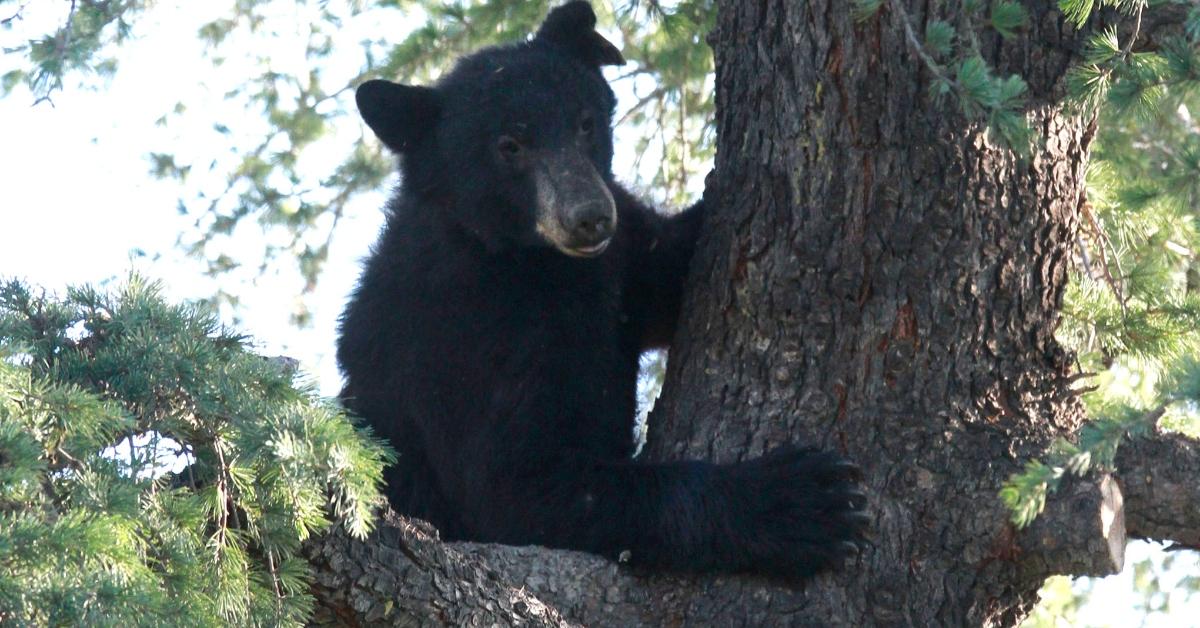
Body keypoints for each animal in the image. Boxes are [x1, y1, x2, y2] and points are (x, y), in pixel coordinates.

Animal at [343, 1, 868, 581]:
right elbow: (517, 488)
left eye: (585, 122)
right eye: (510, 146)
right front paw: (797, 501)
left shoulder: (617, 264)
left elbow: (664, 277)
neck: (528, 262)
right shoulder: (459, 344)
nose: (589, 217)